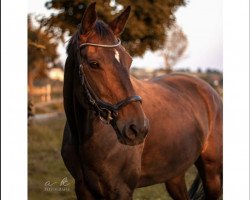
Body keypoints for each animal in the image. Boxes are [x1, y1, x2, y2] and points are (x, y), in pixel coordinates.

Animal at [61, 2, 223, 199]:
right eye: (93, 63)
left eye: (129, 61)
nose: (138, 128)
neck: (84, 137)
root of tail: (209, 89)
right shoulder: (82, 188)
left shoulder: (121, 190)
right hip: (175, 175)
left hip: (212, 173)